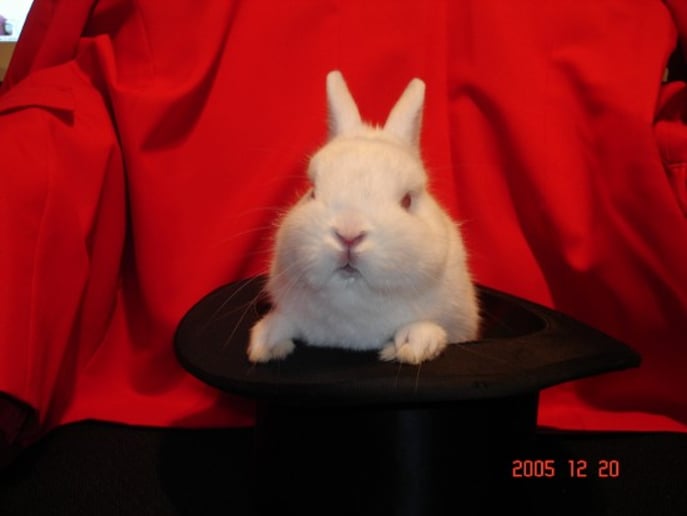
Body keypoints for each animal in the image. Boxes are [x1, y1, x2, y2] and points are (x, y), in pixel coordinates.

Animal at [247, 70, 479, 365]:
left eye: (407, 200)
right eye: (312, 191)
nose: (348, 233)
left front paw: (413, 345)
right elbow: (285, 322)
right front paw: (264, 343)